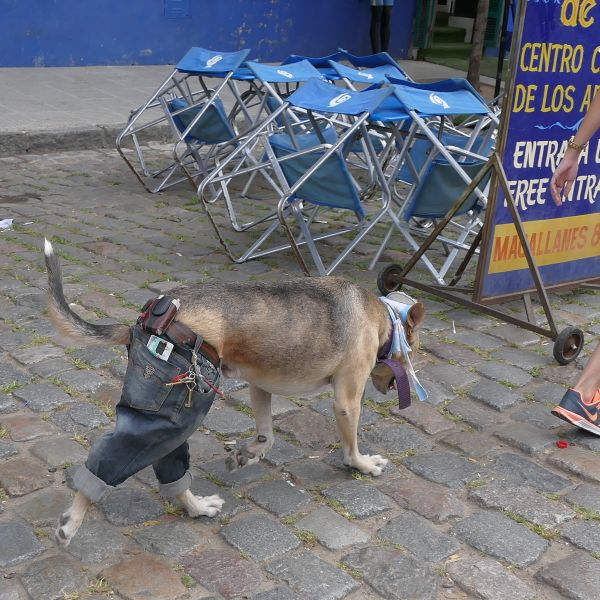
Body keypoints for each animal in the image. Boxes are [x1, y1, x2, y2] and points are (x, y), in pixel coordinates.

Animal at [44, 238, 424, 544]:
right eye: (415, 349)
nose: (408, 379)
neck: (380, 316)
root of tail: (149, 315)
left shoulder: (260, 386)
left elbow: (266, 435)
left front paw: (248, 455)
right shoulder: (346, 401)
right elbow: (351, 446)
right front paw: (363, 465)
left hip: (174, 412)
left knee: (169, 469)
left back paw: (197, 507)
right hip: (181, 406)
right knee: (110, 465)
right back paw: (71, 522)